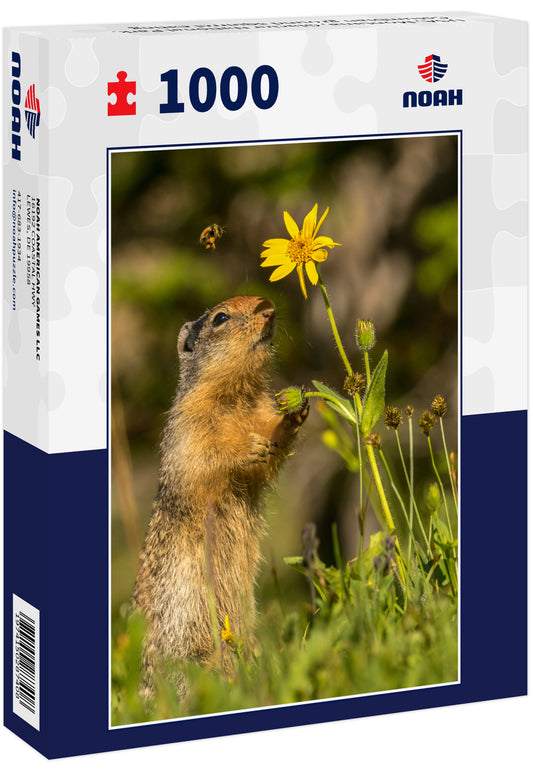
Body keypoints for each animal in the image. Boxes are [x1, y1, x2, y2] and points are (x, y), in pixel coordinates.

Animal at [131, 295, 308, 696]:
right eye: (220, 317)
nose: (268, 309)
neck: (238, 393)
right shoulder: (189, 425)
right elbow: (205, 458)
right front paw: (246, 449)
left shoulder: (260, 410)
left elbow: (268, 451)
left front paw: (294, 412)